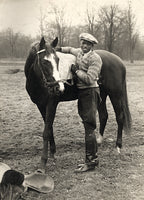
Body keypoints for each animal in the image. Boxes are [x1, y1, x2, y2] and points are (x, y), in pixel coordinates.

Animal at [24, 36, 132, 169]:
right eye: (44, 62)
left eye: (57, 59)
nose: (58, 88)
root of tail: (119, 61)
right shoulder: (41, 106)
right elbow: (49, 129)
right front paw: (52, 154)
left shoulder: (51, 105)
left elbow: (46, 131)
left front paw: (44, 161)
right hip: (101, 95)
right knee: (103, 115)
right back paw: (99, 140)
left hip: (115, 95)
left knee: (119, 117)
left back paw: (118, 146)